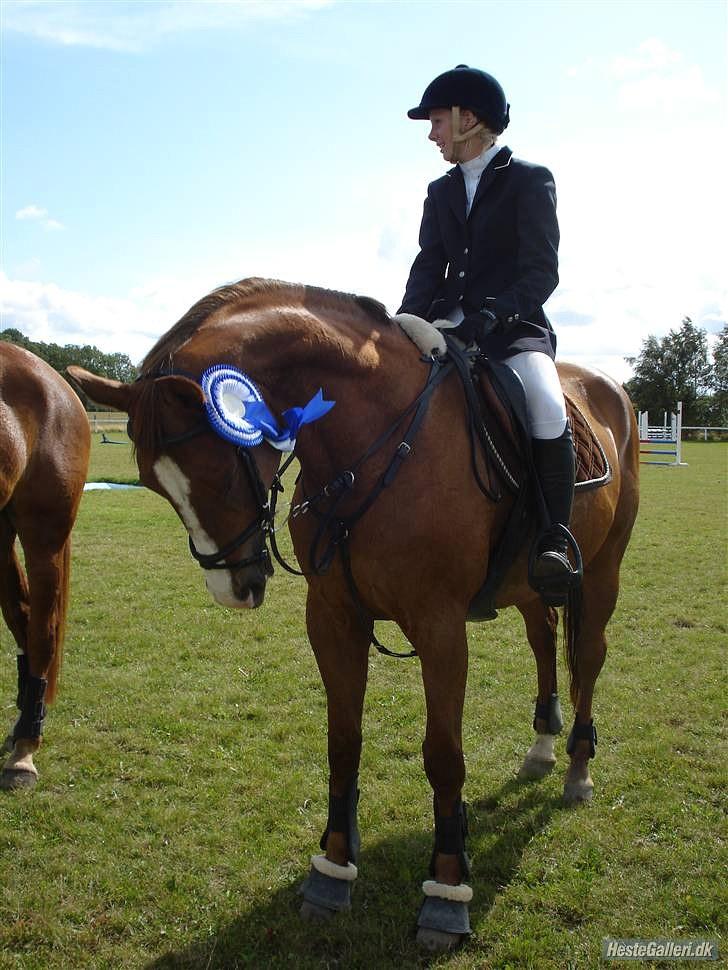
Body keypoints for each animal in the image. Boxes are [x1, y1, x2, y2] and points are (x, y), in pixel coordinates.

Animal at [67, 278, 636, 944]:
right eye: (155, 485)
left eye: (219, 471)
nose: (235, 588)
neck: (374, 443)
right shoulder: (333, 618)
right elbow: (342, 742)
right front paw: (333, 870)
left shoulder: (440, 627)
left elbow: (444, 757)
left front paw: (447, 890)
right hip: (527, 586)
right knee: (544, 641)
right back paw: (543, 748)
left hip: (601, 572)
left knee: (588, 658)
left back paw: (577, 769)